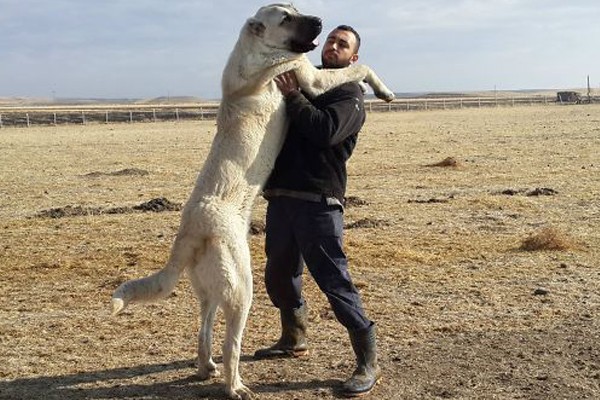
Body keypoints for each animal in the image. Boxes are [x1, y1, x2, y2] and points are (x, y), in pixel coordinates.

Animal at [111, 3, 394, 400]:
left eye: (296, 9)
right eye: (286, 18)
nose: (321, 21)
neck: (256, 48)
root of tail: (190, 230)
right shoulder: (310, 76)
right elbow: (361, 66)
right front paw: (384, 91)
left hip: (210, 290)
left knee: (203, 329)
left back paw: (206, 368)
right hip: (241, 288)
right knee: (231, 343)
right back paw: (235, 385)